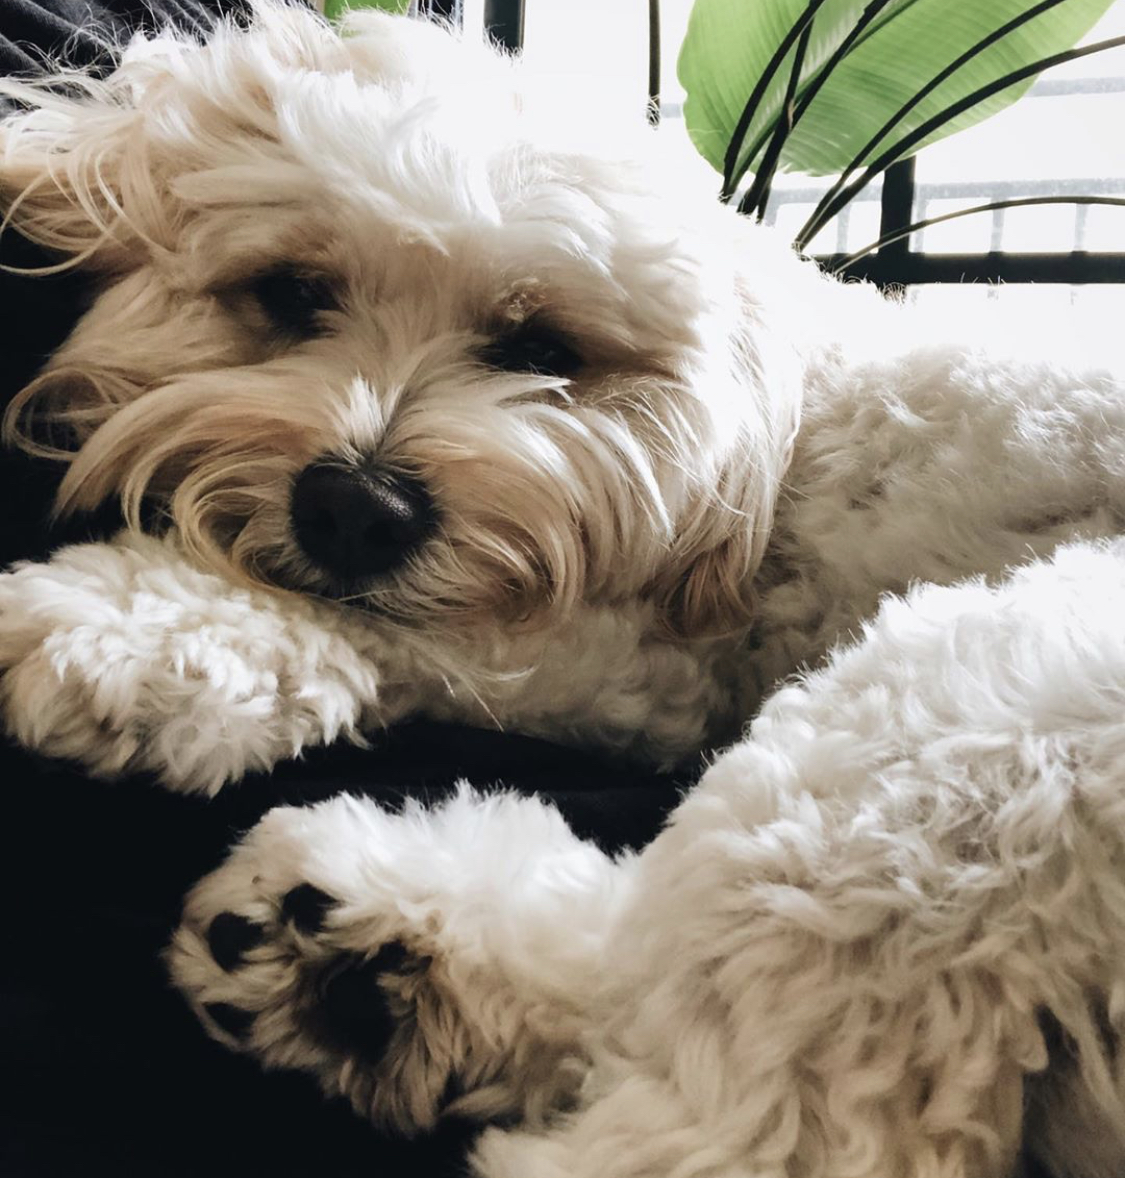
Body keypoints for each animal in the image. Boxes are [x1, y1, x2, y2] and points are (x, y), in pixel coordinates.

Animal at [2, 4, 1125, 1173]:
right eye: (291, 291)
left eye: (541, 347)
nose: (357, 510)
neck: (773, 436)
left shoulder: (644, 651)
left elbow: (438, 629)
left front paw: (124, 628)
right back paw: (375, 969)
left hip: (977, 721)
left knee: (748, 1116)